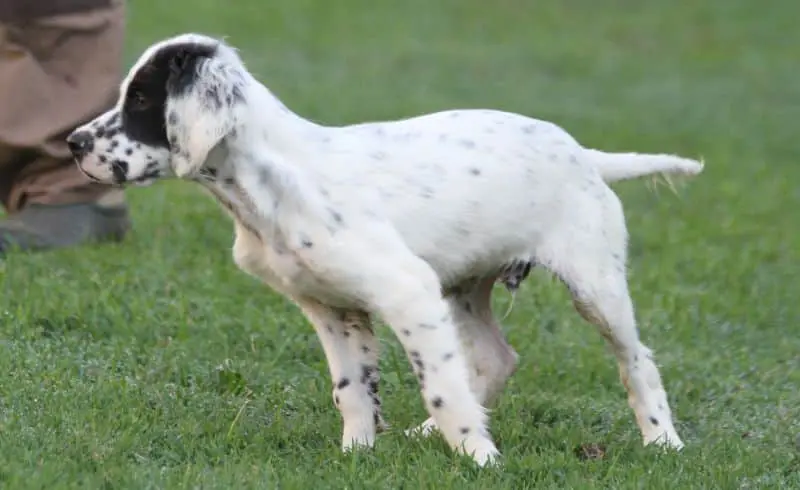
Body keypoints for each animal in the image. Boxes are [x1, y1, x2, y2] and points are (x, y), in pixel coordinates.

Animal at [67, 33, 703, 466]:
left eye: (141, 99)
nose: (73, 143)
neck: (268, 186)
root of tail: (584, 154)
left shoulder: (406, 291)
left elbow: (440, 386)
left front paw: (479, 459)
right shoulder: (332, 307)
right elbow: (352, 389)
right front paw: (359, 454)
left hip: (593, 283)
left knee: (637, 361)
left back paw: (662, 441)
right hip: (463, 285)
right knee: (496, 358)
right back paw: (429, 432)